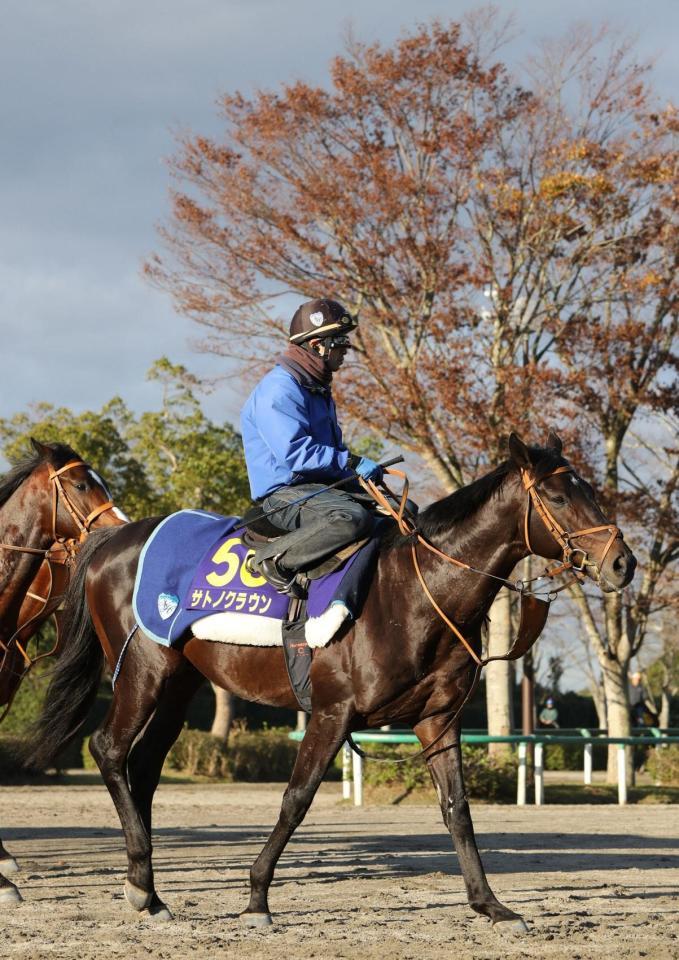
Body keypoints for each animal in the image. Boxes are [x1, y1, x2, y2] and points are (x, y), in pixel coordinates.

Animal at [22, 436, 636, 928]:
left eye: (588, 489)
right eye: (558, 496)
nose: (623, 563)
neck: (412, 591)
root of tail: (111, 542)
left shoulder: (438, 719)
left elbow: (457, 809)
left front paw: (491, 905)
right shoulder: (331, 712)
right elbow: (296, 800)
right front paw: (257, 898)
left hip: (179, 682)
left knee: (144, 766)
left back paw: (148, 890)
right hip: (143, 671)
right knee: (108, 749)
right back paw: (139, 882)